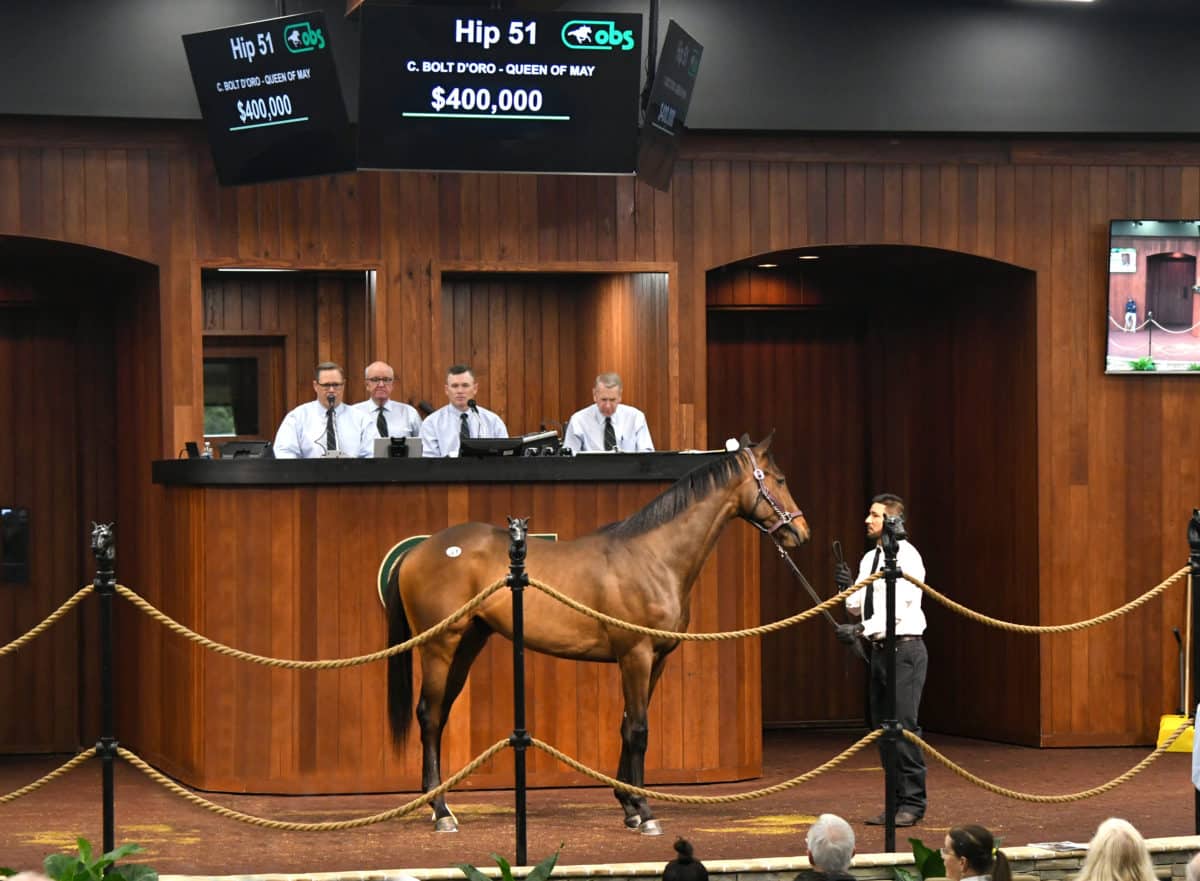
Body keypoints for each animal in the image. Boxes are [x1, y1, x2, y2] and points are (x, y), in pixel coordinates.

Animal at [384, 434, 816, 835]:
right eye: (778, 479)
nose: (801, 532)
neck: (653, 556)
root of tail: (416, 551)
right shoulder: (635, 654)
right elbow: (639, 730)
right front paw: (645, 812)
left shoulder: (655, 660)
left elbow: (627, 725)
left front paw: (628, 806)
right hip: (440, 647)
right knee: (429, 715)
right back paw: (441, 812)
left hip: (468, 644)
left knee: (439, 715)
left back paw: (438, 805)